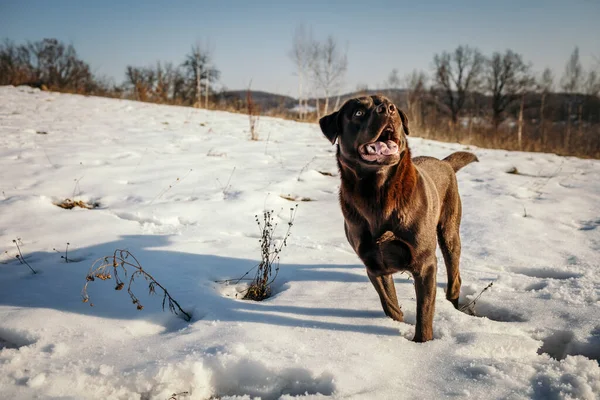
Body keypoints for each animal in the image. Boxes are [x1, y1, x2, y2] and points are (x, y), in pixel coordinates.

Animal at [318, 95, 478, 342]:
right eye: (358, 113)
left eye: (389, 104)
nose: (387, 109)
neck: (378, 194)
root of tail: (445, 163)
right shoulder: (374, 265)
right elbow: (390, 306)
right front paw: (398, 326)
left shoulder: (425, 263)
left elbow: (425, 312)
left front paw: (423, 343)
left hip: (449, 233)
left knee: (455, 277)